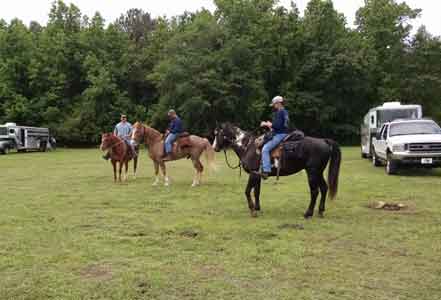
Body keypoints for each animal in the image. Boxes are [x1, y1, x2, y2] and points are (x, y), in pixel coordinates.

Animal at [212, 123, 340, 219]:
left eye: (218, 134)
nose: (214, 148)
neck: (248, 147)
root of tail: (324, 141)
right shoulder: (258, 175)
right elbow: (256, 191)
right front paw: (257, 208)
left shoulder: (253, 174)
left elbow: (247, 191)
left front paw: (252, 210)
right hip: (319, 173)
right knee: (324, 188)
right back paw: (320, 211)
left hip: (312, 173)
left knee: (315, 192)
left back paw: (308, 213)